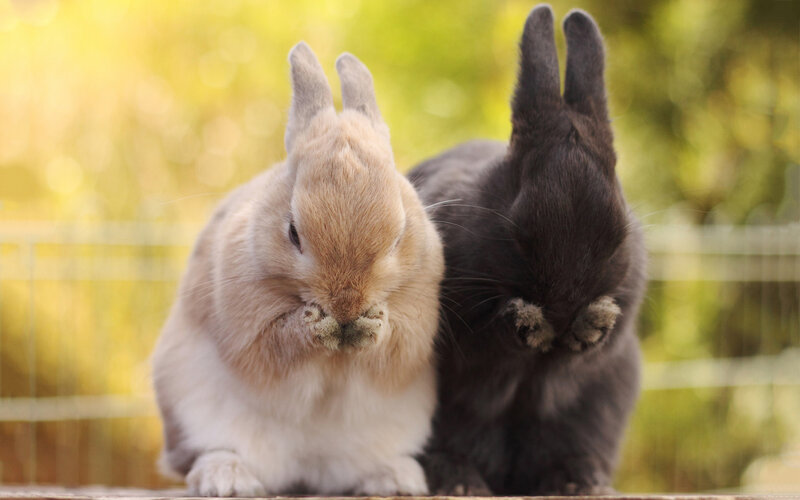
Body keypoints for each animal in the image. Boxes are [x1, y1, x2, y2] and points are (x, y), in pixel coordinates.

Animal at [151, 42, 444, 497]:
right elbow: (277, 344)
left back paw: (396, 480)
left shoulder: (417, 324)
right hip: (190, 408)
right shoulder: (248, 327)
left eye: (398, 236)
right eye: (292, 232)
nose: (346, 305)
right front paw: (316, 326)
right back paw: (226, 478)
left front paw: (371, 325)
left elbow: (395, 347)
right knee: (207, 454)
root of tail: (309, 470)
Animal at [408, 5, 647, 496]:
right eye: (520, 234)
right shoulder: (459, 330)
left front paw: (592, 323)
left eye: (616, 237)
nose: (563, 308)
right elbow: (486, 342)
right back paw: (459, 482)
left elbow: (594, 346)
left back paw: (580, 481)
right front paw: (528, 323)